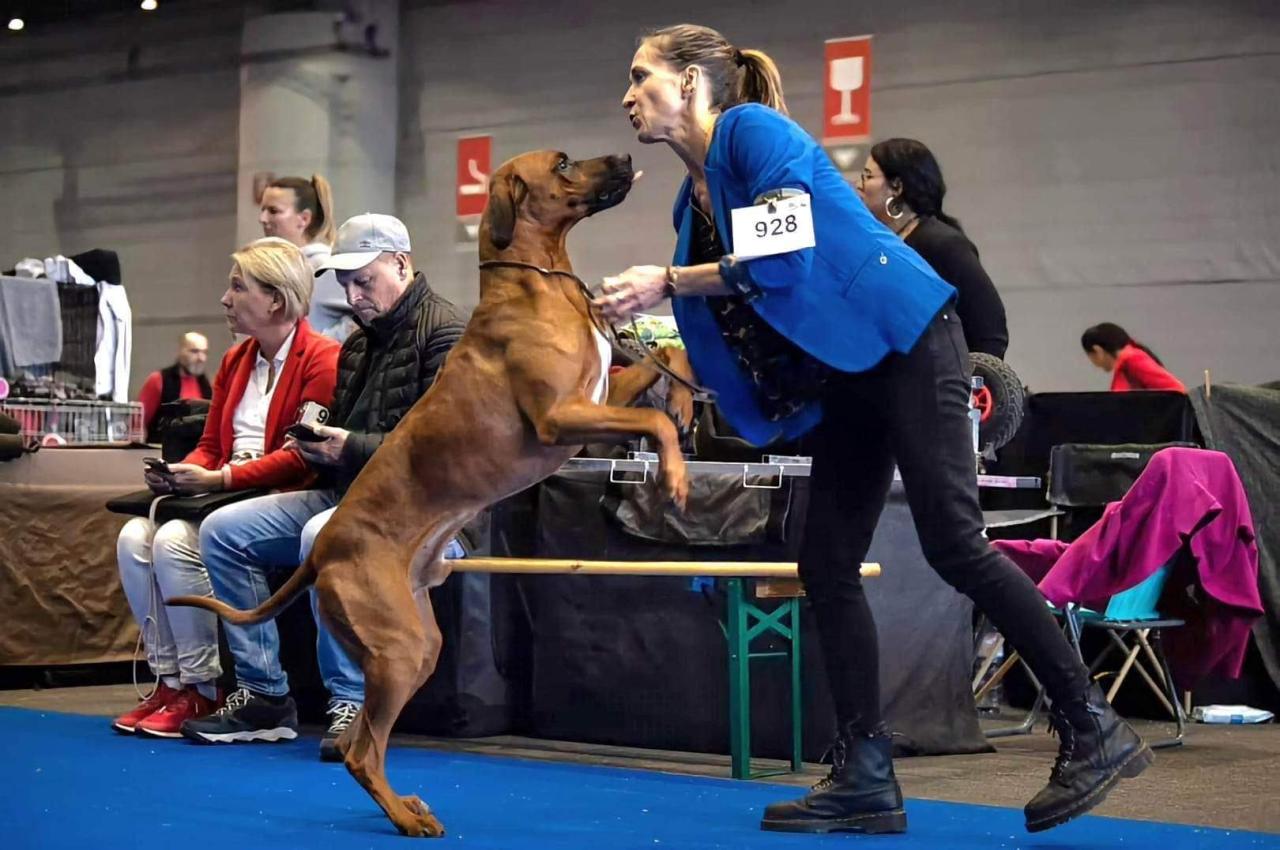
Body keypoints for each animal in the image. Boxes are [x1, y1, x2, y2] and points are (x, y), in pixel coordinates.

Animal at [170, 147, 696, 834]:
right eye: (562, 163)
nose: (626, 153)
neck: (537, 281)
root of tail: (321, 550)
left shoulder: (599, 393)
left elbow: (668, 372)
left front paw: (686, 404)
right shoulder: (561, 418)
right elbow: (650, 422)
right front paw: (677, 473)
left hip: (418, 644)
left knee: (360, 740)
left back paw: (403, 805)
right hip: (398, 647)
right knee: (363, 751)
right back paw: (407, 817)